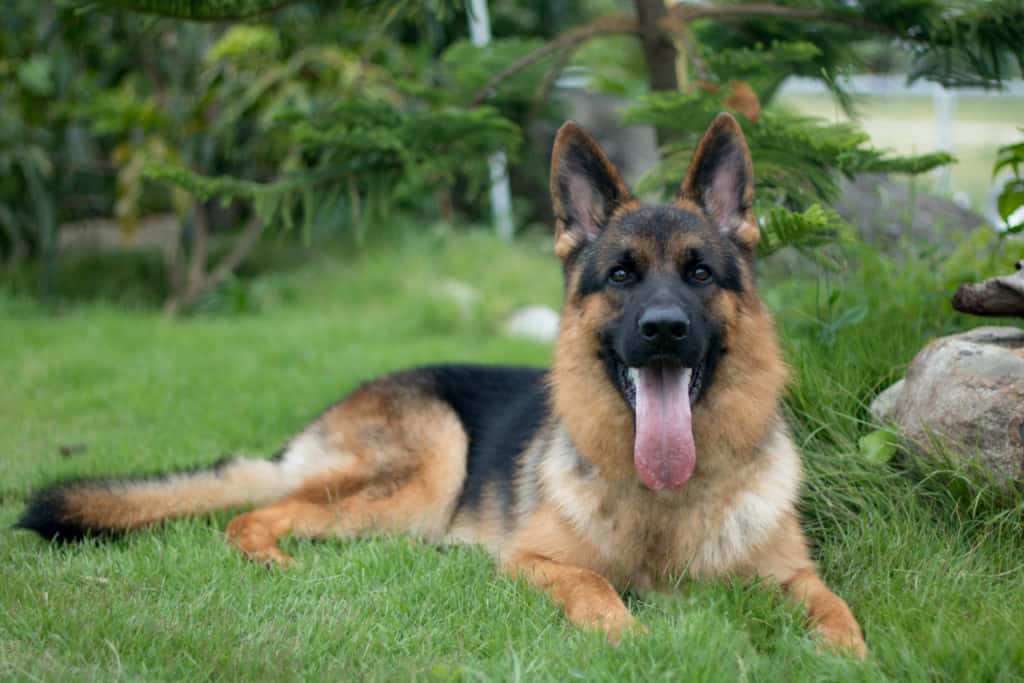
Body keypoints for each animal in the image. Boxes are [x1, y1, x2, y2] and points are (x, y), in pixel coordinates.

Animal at [16, 114, 864, 659]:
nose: (662, 329)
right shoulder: (534, 562)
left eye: (699, 273)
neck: (666, 504)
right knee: (255, 512)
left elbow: (835, 605)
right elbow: (596, 586)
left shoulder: (791, 574)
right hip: (427, 469)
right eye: (622, 275)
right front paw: (625, 633)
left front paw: (849, 652)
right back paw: (271, 558)